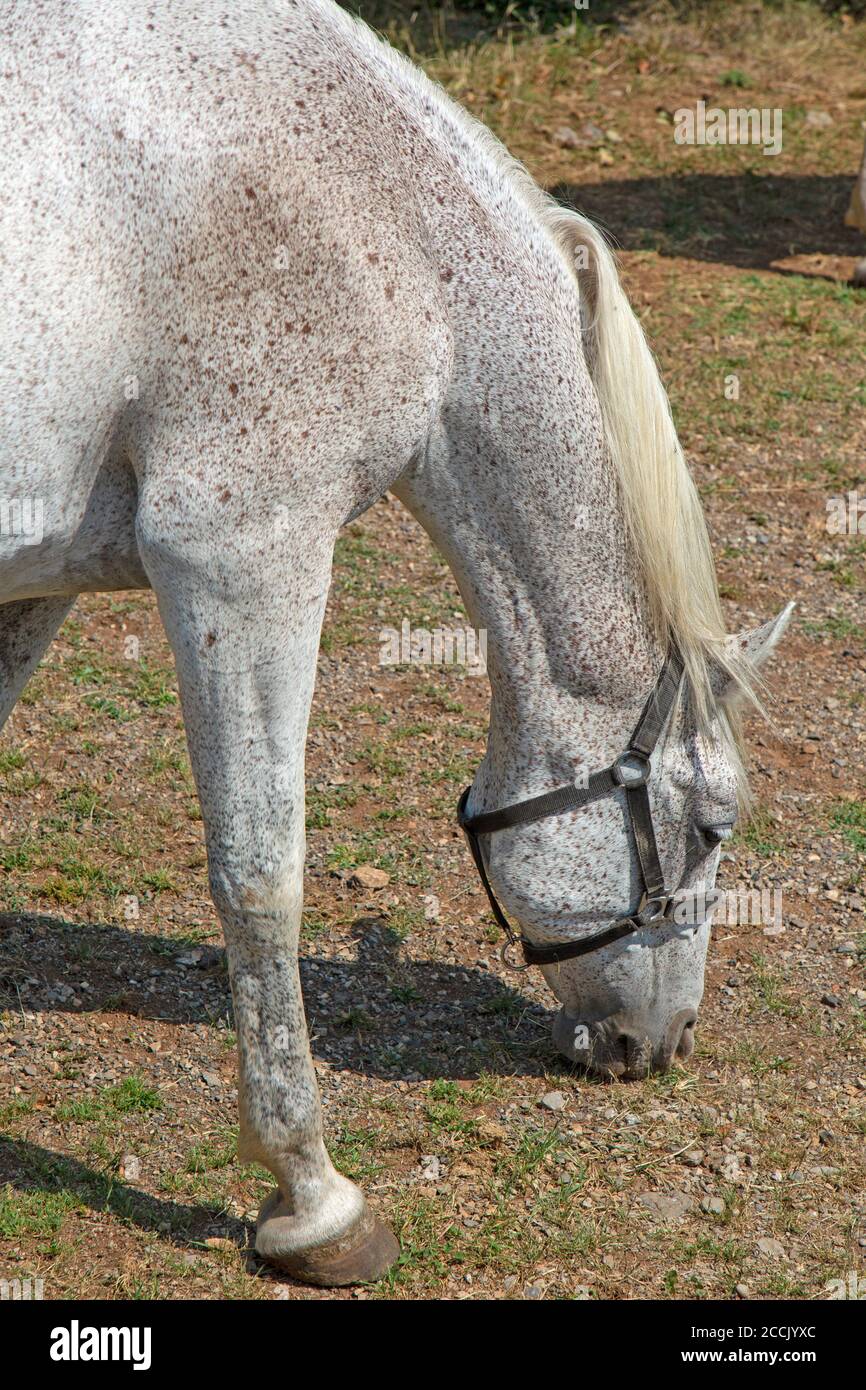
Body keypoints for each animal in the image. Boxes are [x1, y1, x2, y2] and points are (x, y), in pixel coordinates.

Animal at [0, 0, 791, 1286]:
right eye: (714, 826)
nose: (660, 1041)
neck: (374, 219)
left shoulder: (45, 572)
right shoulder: (244, 556)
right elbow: (260, 875)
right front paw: (310, 1194)